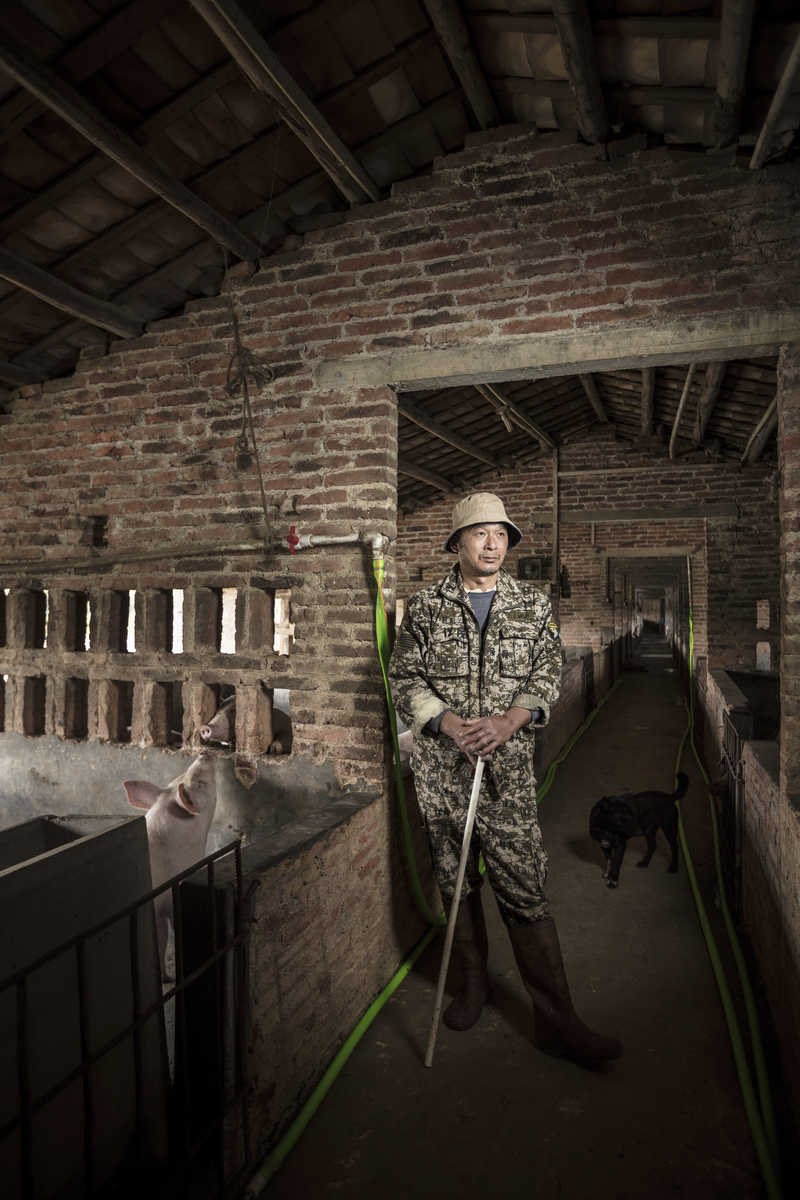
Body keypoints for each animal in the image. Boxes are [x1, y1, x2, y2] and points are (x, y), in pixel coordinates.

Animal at [122, 753, 217, 979]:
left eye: (175, 779)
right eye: (199, 784)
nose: (204, 753)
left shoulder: (159, 911)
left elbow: (162, 940)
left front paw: (165, 977)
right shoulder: (173, 895)